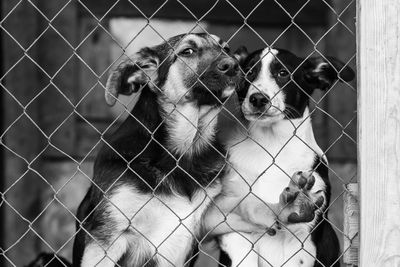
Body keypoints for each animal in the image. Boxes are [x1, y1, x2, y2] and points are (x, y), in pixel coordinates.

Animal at [205, 47, 354, 266]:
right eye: (249, 72)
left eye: (283, 73)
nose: (258, 99)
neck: (271, 144)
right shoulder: (231, 222)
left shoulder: (304, 237)